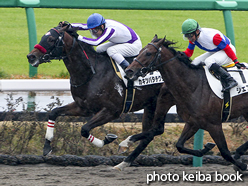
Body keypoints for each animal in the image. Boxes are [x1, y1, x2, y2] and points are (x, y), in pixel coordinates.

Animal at [27, 25, 170, 157]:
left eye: (51, 39)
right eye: (42, 37)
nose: (31, 56)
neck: (91, 73)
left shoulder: (112, 110)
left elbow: (84, 129)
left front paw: (108, 139)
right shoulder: (83, 107)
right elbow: (54, 112)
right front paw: (47, 147)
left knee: (157, 129)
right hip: (150, 104)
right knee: (150, 132)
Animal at [118, 35, 248, 171]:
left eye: (148, 53)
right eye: (140, 51)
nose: (129, 71)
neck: (194, 86)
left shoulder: (214, 124)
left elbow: (225, 152)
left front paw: (243, 166)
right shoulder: (193, 122)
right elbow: (179, 145)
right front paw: (204, 149)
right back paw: (239, 151)